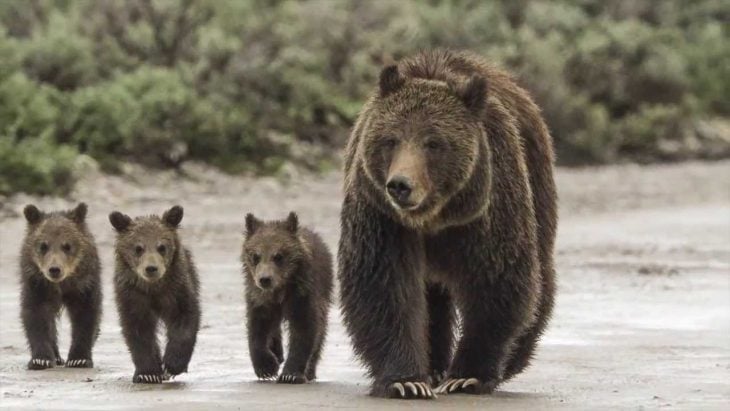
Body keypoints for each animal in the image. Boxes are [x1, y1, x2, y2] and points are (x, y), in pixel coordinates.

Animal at [18, 204, 101, 372]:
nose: (54, 269)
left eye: (67, 246)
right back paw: (56, 356)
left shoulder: (84, 285)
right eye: (43, 246)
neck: (61, 284)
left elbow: (86, 315)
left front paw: (79, 359)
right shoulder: (37, 284)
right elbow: (36, 315)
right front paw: (40, 360)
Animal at [109, 208, 199, 384]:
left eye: (161, 247)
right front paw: (148, 373)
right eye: (138, 248)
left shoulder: (176, 290)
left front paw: (172, 365)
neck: (153, 288)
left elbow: (185, 320)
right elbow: (138, 331)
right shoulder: (133, 296)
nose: (151, 268)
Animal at [243, 214, 334, 384]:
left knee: (321, 330)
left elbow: (304, 329)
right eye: (255, 256)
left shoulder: (302, 294)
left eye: (278, 256)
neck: (280, 289)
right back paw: (277, 353)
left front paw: (290, 374)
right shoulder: (259, 298)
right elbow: (257, 328)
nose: (265, 279)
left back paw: (310, 371)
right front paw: (266, 367)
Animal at [338, 50, 556, 400]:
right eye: (391, 139)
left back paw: (513, 358)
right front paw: (406, 381)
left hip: (536, 181)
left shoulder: (486, 210)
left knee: (540, 275)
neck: (434, 217)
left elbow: (496, 281)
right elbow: (384, 286)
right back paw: (434, 366)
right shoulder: (383, 217)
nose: (400, 185)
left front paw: (467, 376)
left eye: (434, 142)